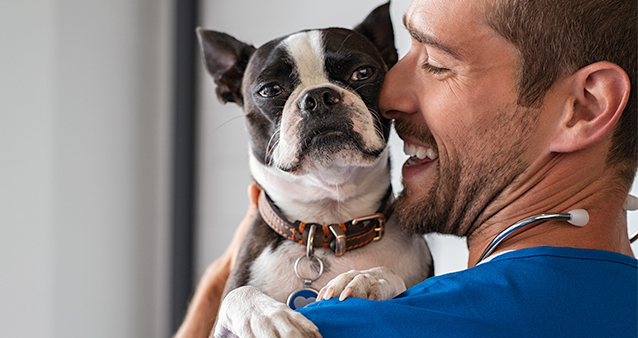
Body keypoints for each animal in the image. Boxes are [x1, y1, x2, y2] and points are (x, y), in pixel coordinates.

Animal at [198, 3, 436, 338]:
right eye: (269, 90)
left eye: (363, 72)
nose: (319, 97)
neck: (327, 223)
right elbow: (238, 293)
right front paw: (269, 316)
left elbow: (389, 275)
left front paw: (366, 279)